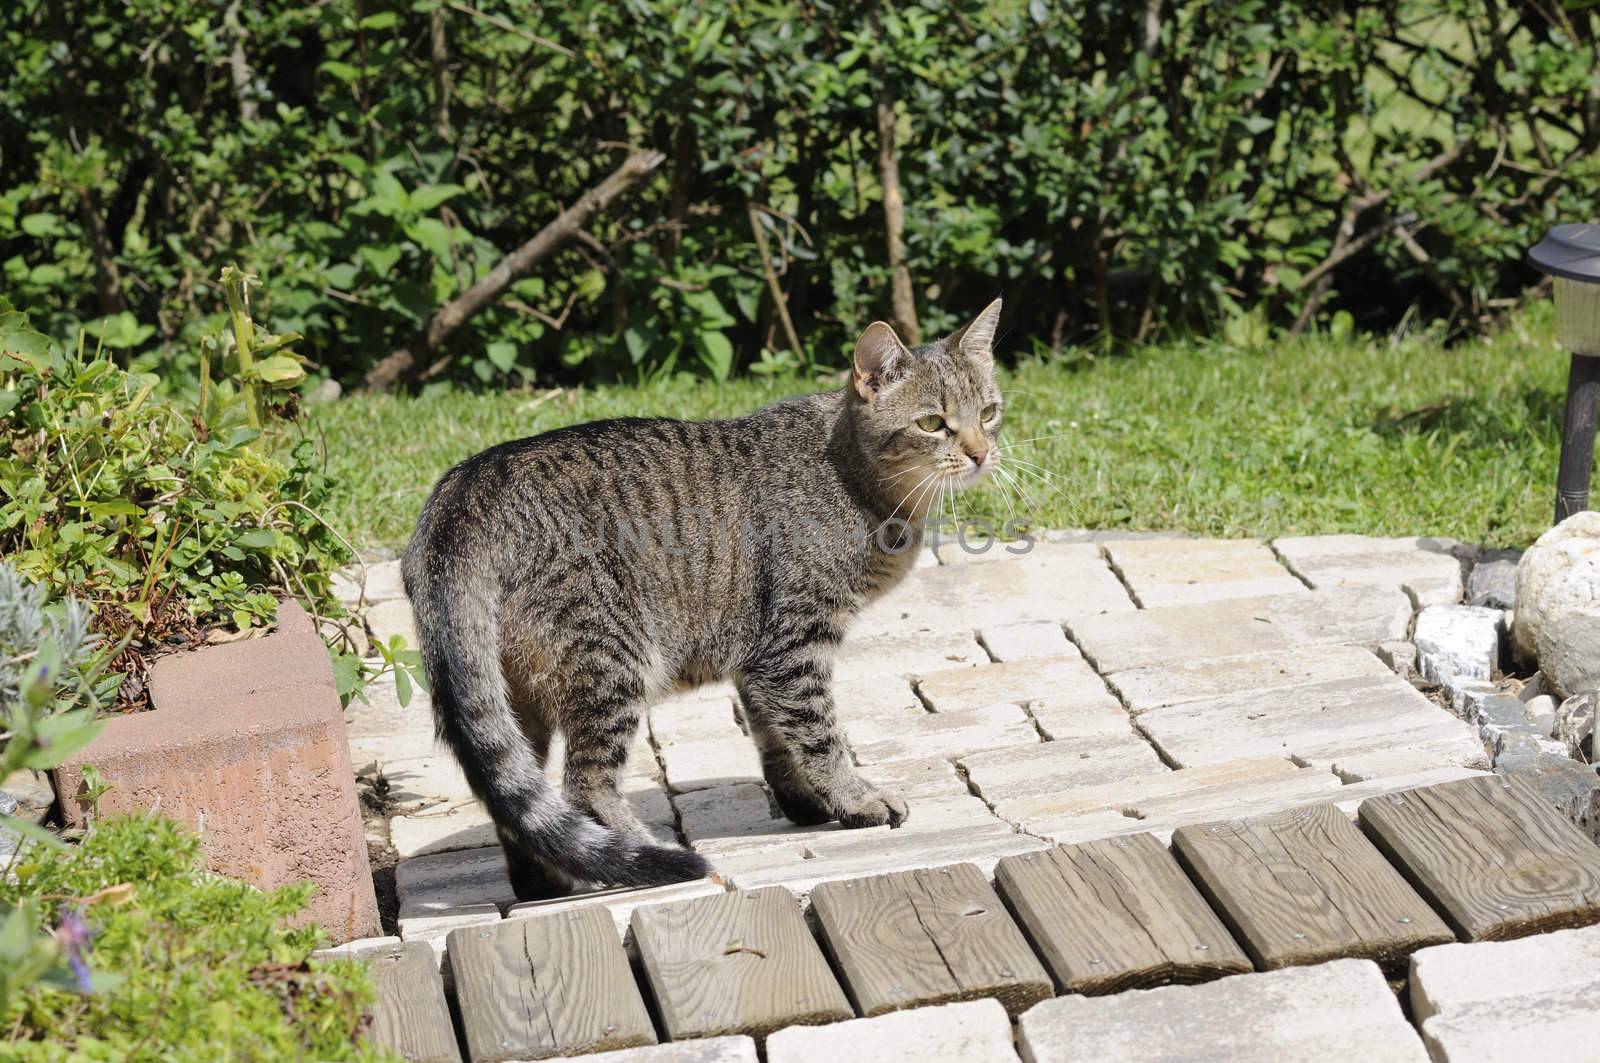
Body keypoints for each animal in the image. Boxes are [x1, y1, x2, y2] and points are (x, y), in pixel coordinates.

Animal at [400, 294, 998, 890]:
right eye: (932, 423)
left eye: (989, 413)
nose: (980, 453)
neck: (860, 480)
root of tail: (465, 490)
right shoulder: (795, 643)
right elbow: (819, 734)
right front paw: (854, 798)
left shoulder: (760, 657)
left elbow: (775, 739)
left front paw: (808, 803)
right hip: (614, 662)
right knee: (585, 786)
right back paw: (646, 855)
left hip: (518, 695)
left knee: (515, 799)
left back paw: (547, 881)